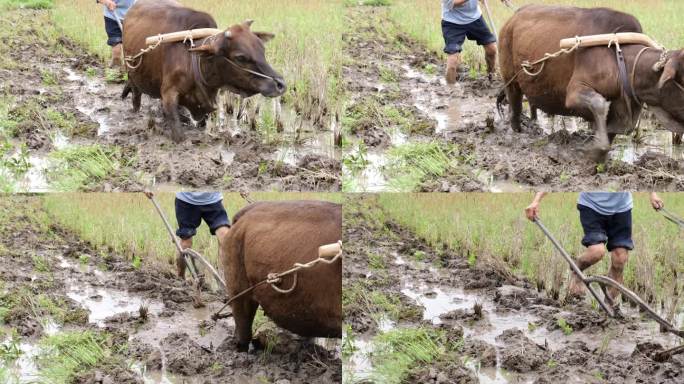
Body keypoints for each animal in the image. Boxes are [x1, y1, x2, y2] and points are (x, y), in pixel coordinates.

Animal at [121, 0, 284, 142]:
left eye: (262, 49)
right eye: (240, 57)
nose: (280, 84)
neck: (192, 60)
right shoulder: (168, 94)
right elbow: (178, 133)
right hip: (132, 75)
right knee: (135, 95)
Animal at [496, 6, 684, 162]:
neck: (619, 58)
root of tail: (513, 18)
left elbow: (611, 129)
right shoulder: (574, 91)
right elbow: (599, 104)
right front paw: (596, 151)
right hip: (510, 80)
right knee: (515, 109)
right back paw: (517, 134)